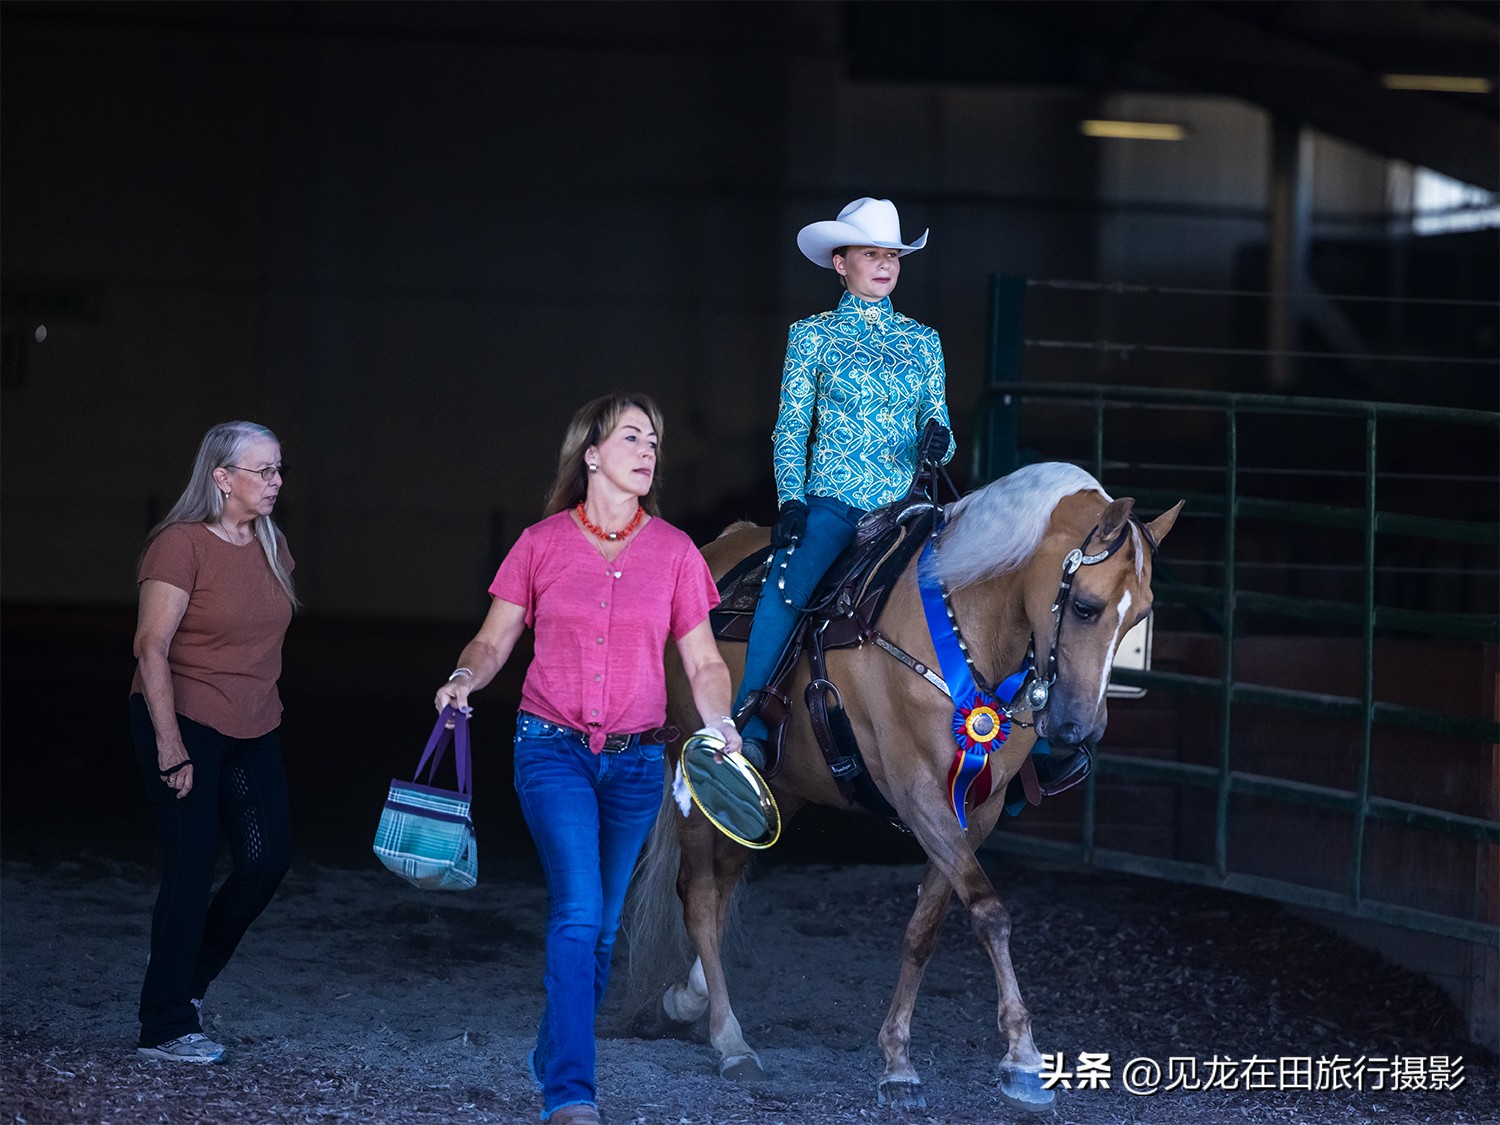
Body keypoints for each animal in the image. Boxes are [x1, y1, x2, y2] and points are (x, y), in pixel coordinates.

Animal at [627, 462, 1176, 1116]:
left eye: (1140, 617)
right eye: (1088, 608)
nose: (1077, 731)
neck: (968, 624)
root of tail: (713, 549)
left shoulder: (974, 808)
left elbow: (926, 927)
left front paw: (899, 1061)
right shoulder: (918, 792)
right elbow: (989, 911)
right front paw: (1021, 1056)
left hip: (773, 793)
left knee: (725, 882)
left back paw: (686, 999)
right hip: (692, 772)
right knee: (700, 894)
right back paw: (729, 1040)